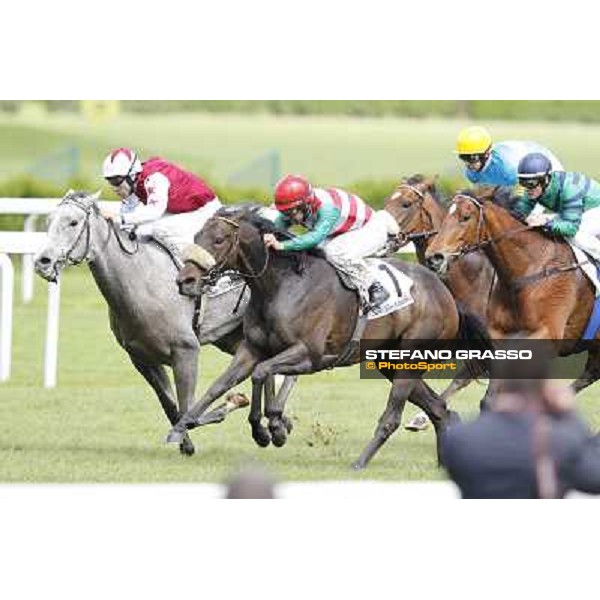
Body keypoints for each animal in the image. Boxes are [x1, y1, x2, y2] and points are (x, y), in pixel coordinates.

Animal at [32, 190, 296, 458]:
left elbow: (189, 409)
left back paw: (276, 425)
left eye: (73, 222)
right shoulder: (142, 358)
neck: (141, 282)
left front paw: (236, 402)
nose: (42, 261)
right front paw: (186, 444)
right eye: (49, 220)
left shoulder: (186, 351)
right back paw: (274, 425)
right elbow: (172, 406)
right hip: (234, 337)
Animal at [164, 205, 488, 468]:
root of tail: (445, 294)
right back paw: (444, 463)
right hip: (390, 362)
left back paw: (359, 463)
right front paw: (183, 425)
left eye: (219, 240)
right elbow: (220, 385)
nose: (185, 281)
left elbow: (261, 373)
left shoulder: (310, 355)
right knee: (440, 410)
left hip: (410, 357)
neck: (281, 285)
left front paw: (269, 429)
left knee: (393, 417)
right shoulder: (252, 349)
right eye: (196, 237)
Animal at [424, 188, 600, 394]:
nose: (433, 257)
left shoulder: (548, 335)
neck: (528, 270)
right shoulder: (497, 334)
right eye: (445, 217)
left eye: (465, 217)